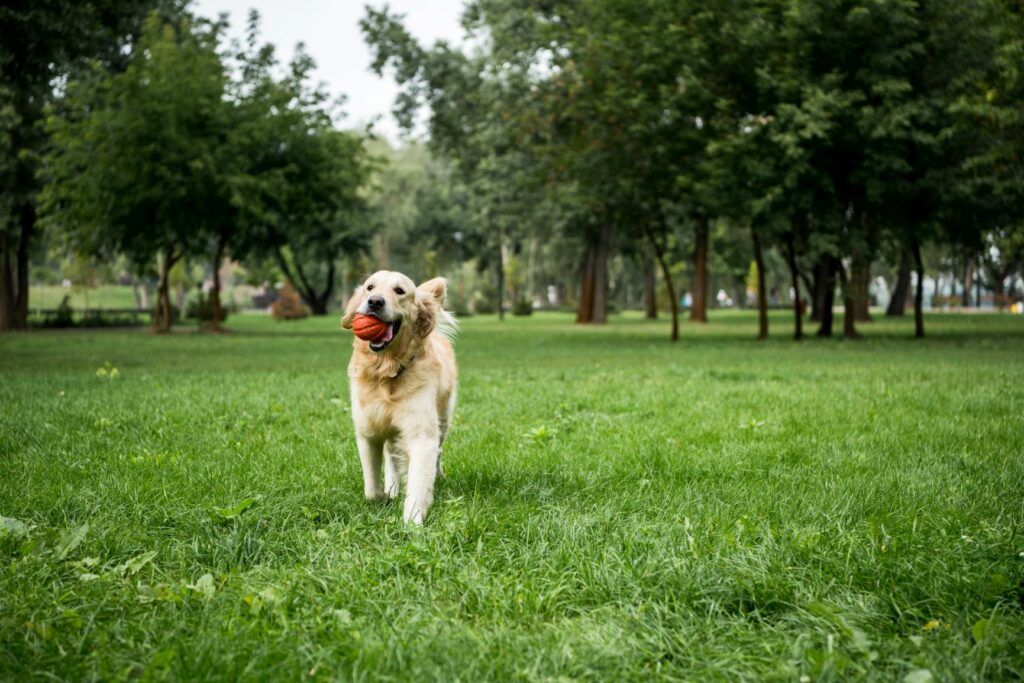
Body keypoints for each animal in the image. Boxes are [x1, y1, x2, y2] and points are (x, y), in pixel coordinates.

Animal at [342, 272, 458, 524]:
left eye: (399, 291)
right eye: (369, 287)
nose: (375, 302)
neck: (387, 371)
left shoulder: (421, 433)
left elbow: (419, 480)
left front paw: (413, 521)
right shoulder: (368, 431)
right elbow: (371, 489)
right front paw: (383, 496)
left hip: (443, 418)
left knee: (437, 452)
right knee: (391, 456)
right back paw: (393, 487)